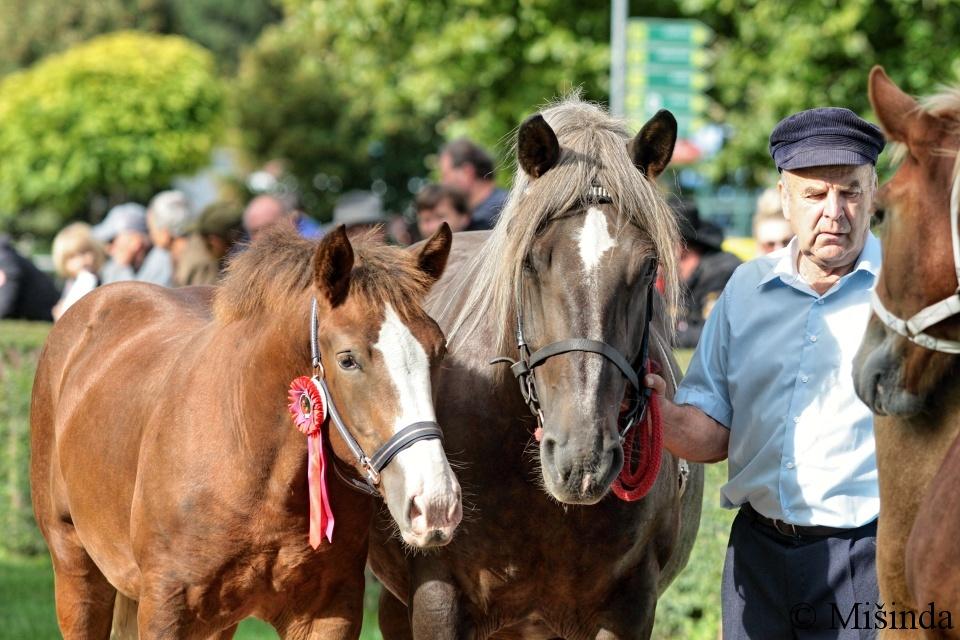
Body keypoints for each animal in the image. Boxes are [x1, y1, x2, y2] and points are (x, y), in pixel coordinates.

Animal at [31, 222, 464, 636]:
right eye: (347, 360)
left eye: (439, 349)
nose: (435, 504)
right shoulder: (165, 608)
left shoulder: (328, 612)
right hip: (76, 570)